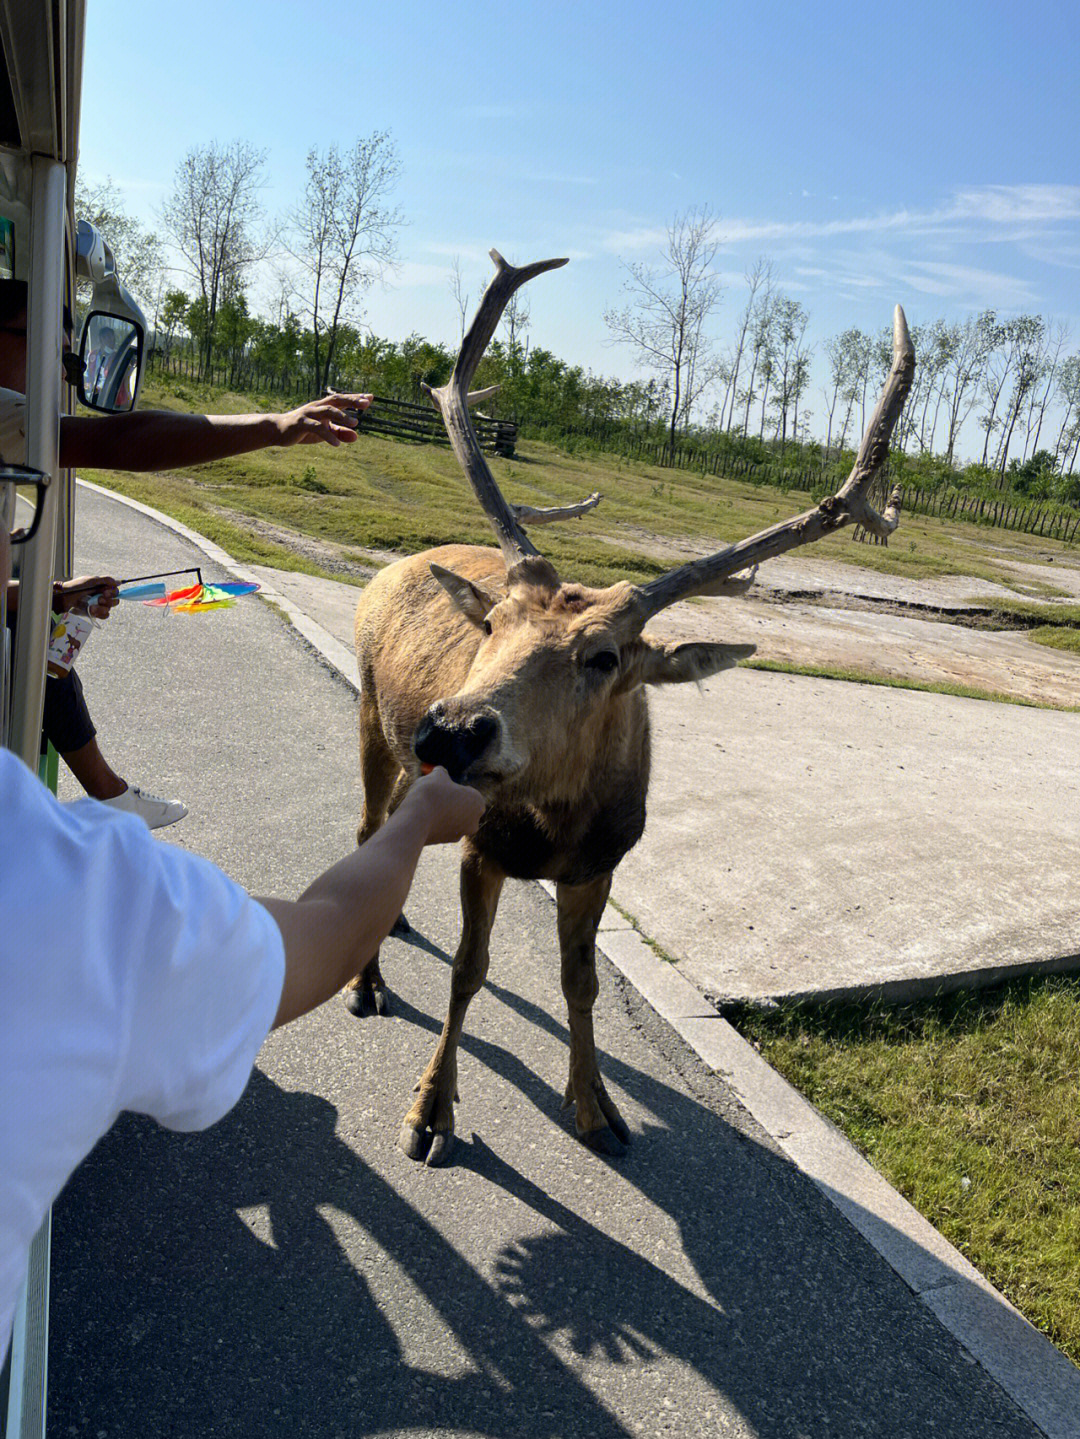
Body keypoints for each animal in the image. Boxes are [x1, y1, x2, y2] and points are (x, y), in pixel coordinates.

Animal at [343, 247, 914, 1168]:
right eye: (494, 624)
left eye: (605, 657)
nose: (455, 725)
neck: (553, 823)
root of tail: (396, 566)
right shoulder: (482, 844)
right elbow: (470, 969)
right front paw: (431, 1112)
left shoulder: (602, 862)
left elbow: (580, 984)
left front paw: (597, 1107)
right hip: (370, 710)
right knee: (365, 826)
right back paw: (367, 982)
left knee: (391, 825)